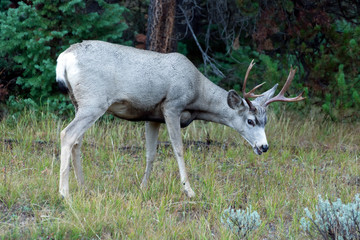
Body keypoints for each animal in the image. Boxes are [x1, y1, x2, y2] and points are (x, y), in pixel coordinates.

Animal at [55, 40, 304, 198]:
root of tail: (64, 58)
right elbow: (179, 149)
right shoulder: (172, 106)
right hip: (94, 101)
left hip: (79, 102)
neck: (196, 95)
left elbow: (151, 153)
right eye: (250, 121)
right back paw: (65, 194)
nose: (264, 146)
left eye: (266, 121)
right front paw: (189, 190)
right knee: (67, 134)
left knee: (77, 141)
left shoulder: (152, 116)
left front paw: (143, 187)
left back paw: (83, 187)